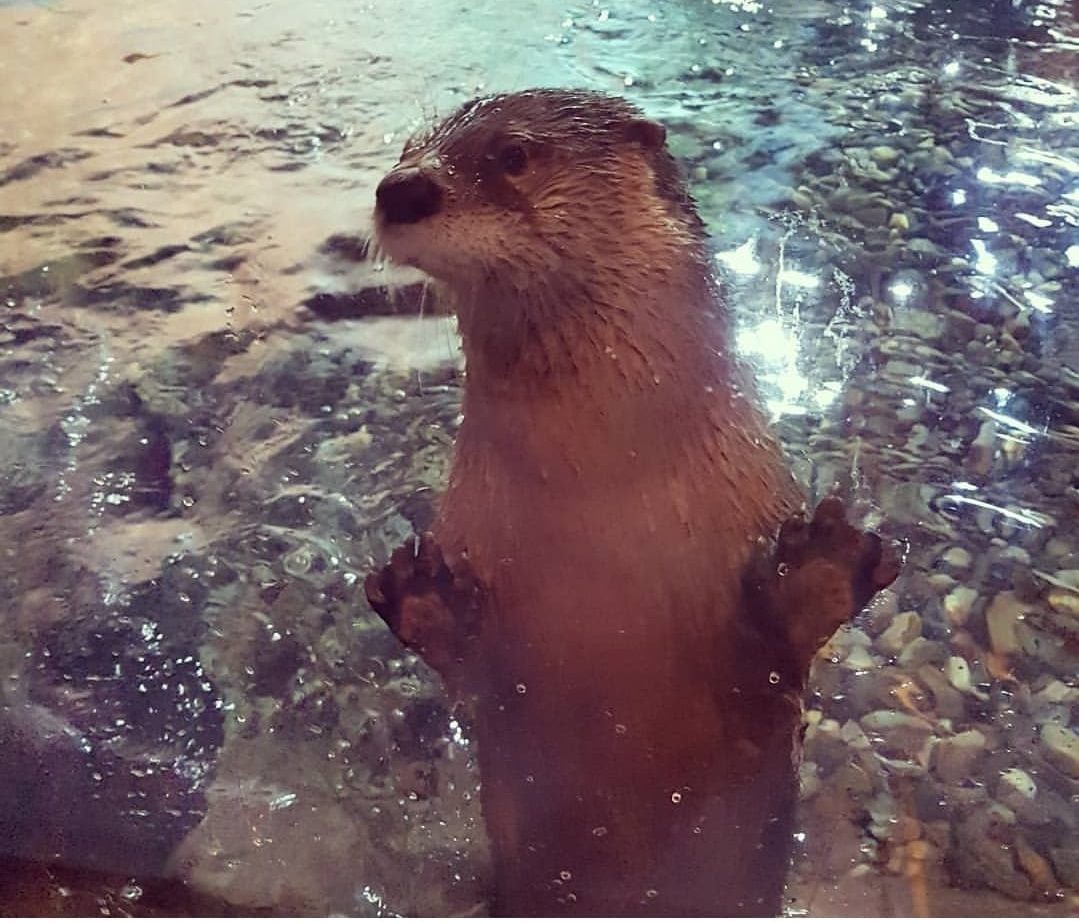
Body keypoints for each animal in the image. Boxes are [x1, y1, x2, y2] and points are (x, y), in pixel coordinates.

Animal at [364, 89, 897, 916]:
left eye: (513, 154)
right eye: (406, 150)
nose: (402, 189)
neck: (601, 492)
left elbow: (781, 649)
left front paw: (816, 568)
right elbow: (469, 668)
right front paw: (426, 594)